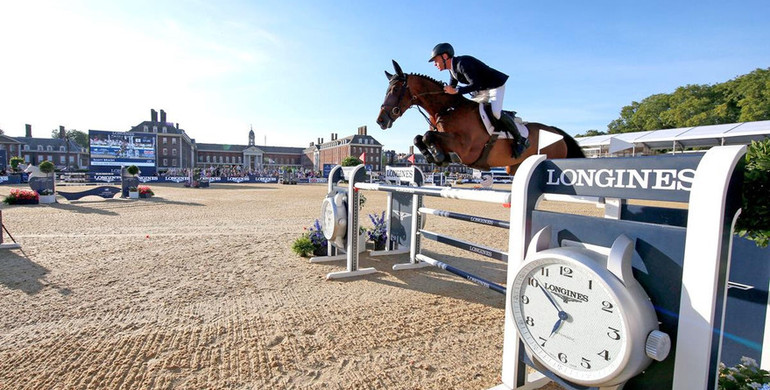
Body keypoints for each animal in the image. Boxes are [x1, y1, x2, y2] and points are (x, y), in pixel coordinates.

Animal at [374, 60, 584, 174]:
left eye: (395, 89)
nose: (381, 120)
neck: (448, 109)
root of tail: (557, 133)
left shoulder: (466, 148)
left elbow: (427, 135)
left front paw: (440, 156)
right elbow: (419, 138)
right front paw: (433, 156)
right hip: (514, 167)